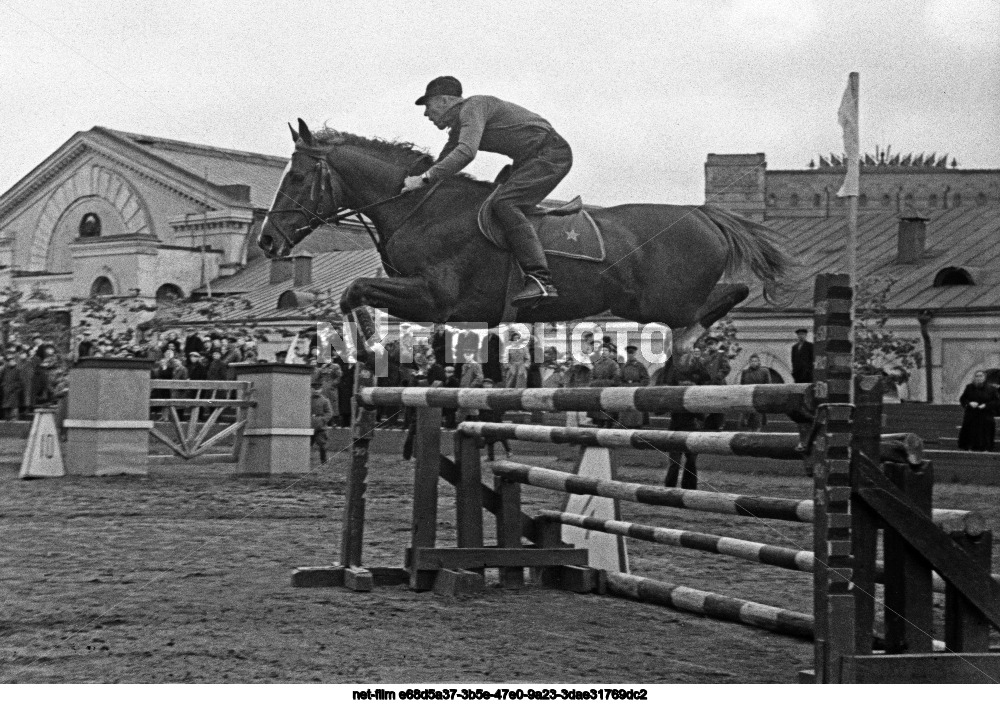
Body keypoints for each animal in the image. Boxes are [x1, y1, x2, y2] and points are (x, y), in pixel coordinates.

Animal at [260, 119, 796, 358]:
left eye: (298, 178)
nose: (266, 241)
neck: (421, 208)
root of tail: (701, 214)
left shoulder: (435, 297)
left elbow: (354, 290)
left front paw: (369, 346)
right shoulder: (431, 306)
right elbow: (353, 295)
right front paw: (371, 345)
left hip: (663, 302)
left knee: (722, 298)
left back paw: (687, 343)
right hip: (650, 303)